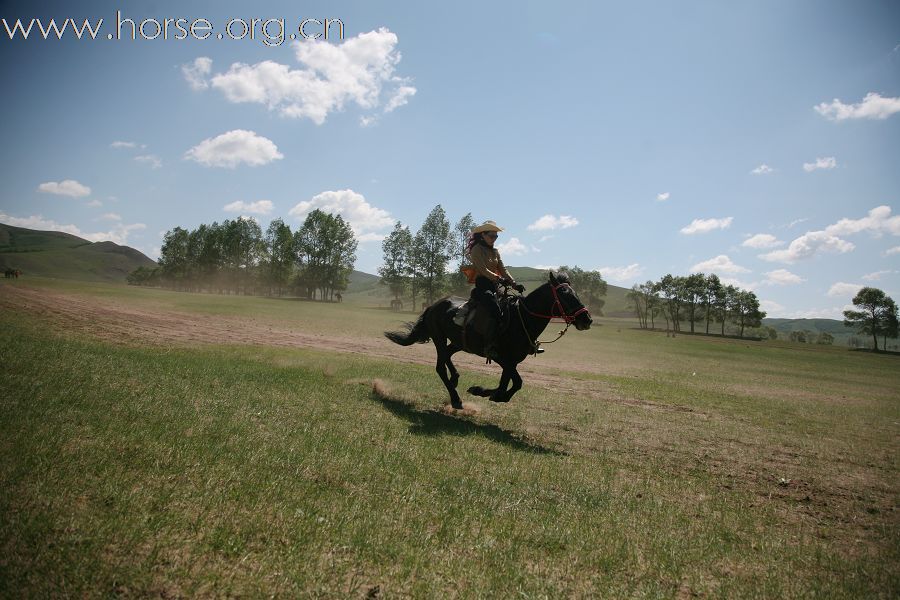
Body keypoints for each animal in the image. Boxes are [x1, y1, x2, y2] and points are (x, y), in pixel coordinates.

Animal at [384, 272, 592, 408]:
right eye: (564, 294)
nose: (587, 319)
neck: (520, 320)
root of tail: (434, 305)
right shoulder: (503, 359)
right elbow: (515, 383)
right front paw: (485, 392)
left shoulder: (511, 362)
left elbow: (507, 384)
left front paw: (484, 392)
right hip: (439, 338)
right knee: (440, 367)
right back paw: (455, 398)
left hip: (459, 343)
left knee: (448, 357)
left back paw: (455, 379)